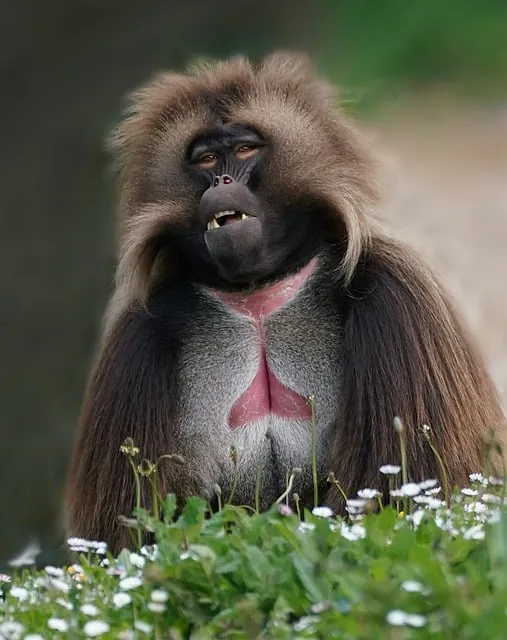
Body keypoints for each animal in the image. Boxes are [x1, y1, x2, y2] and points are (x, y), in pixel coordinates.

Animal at [64, 52, 505, 554]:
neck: (257, 295)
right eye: (206, 158)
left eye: (244, 150)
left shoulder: (400, 299)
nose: (221, 180)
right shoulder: (135, 342)